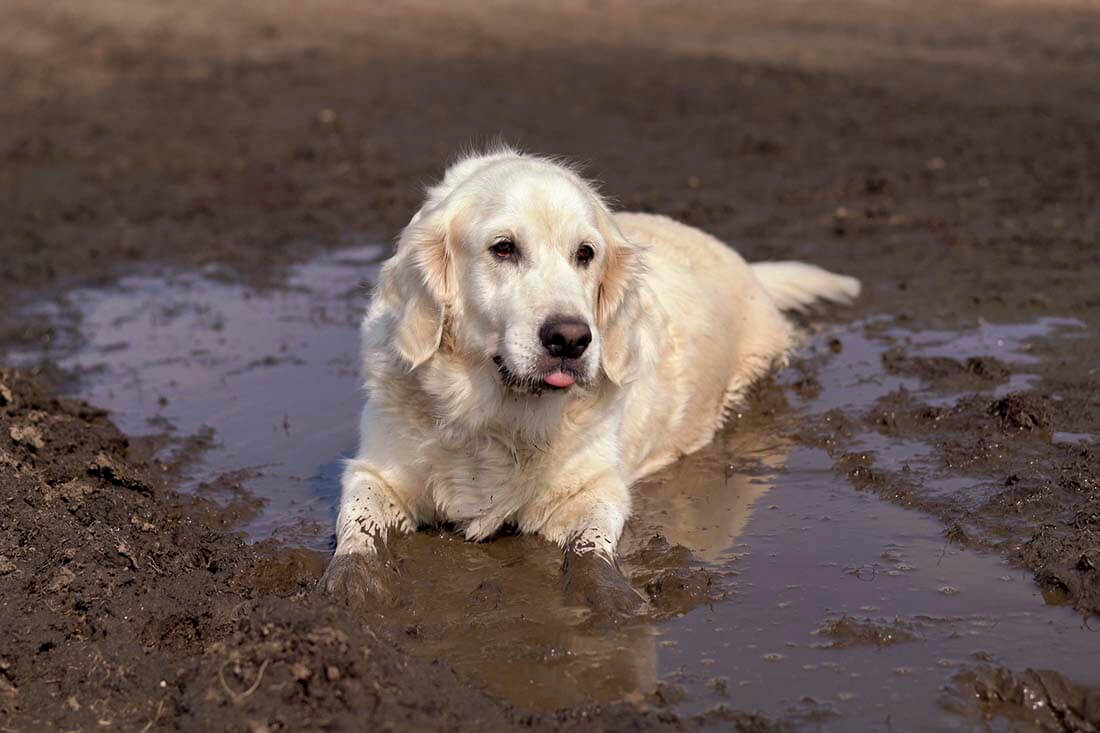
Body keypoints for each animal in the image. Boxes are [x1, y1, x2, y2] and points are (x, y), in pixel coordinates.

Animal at [319, 148, 858, 611]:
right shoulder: (376, 471)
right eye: (503, 249)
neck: (498, 416)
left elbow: (590, 546)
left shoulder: (598, 486)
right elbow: (357, 524)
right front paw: (351, 581)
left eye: (585, 253)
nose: (571, 338)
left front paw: (608, 595)